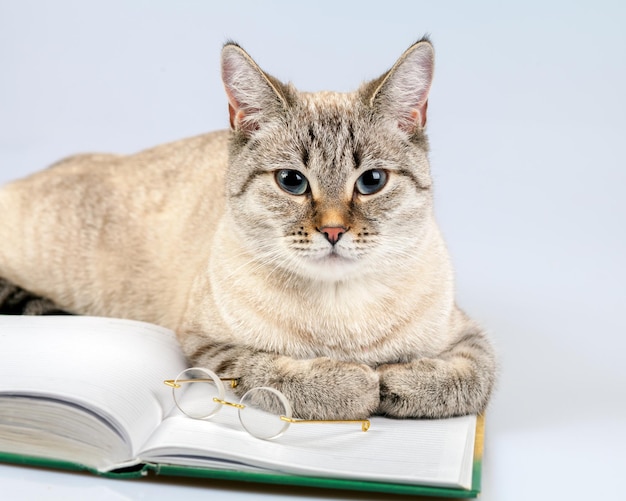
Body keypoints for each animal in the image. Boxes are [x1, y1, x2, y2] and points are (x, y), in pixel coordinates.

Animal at [1, 38, 498, 418]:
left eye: (372, 181)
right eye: (292, 181)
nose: (333, 231)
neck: (341, 316)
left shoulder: (467, 334)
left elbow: (472, 378)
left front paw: (394, 379)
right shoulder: (206, 346)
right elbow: (276, 371)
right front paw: (358, 382)